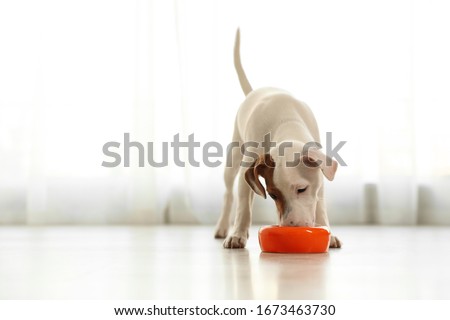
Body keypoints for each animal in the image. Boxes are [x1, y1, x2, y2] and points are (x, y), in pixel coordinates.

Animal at [214, 30, 342, 249]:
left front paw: (328, 231)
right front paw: (237, 234)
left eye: (302, 189)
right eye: (273, 194)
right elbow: (243, 205)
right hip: (233, 157)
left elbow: (320, 203)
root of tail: (253, 91)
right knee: (229, 194)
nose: (292, 227)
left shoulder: (320, 178)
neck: (286, 121)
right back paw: (223, 227)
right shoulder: (248, 167)